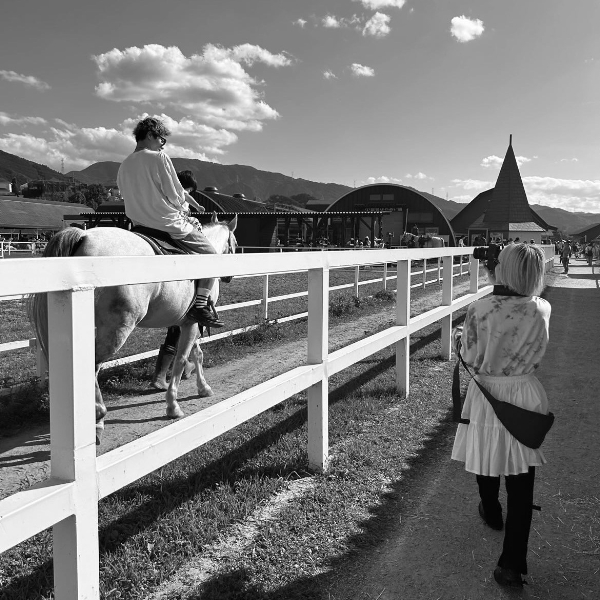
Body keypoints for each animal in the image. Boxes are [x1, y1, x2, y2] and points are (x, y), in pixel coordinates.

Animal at [29, 213, 237, 442]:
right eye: (235, 244)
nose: (229, 277)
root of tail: (84, 235)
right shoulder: (192, 322)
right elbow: (181, 360)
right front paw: (173, 406)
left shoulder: (185, 322)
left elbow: (196, 354)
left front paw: (203, 388)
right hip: (117, 329)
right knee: (93, 366)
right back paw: (98, 417)